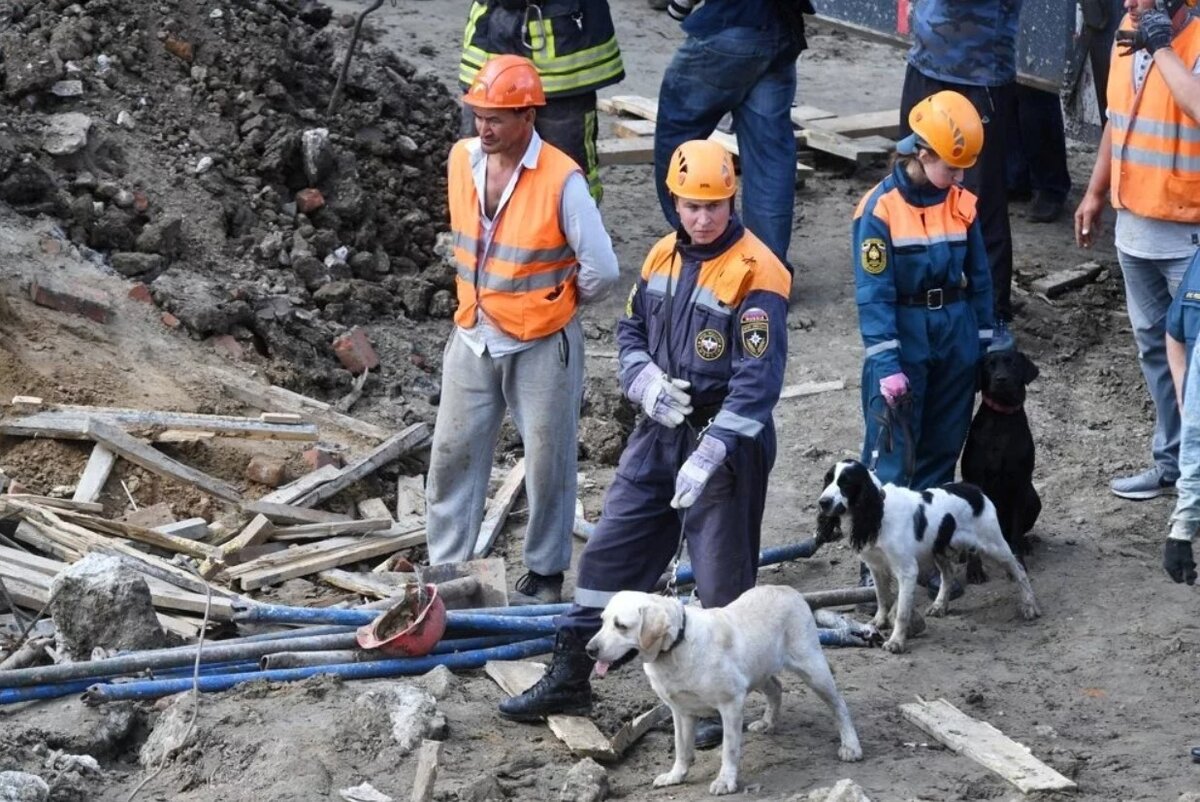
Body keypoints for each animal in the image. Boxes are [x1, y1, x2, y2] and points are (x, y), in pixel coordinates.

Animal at [585, 585, 859, 792]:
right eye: (602, 621)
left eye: (621, 625)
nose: (589, 649)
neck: (676, 647)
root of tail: (790, 590)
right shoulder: (680, 711)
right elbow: (681, 748)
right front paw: (676, 775)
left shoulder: (731, 704)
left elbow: (729, 748)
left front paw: (725, 781)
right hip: (758, 670)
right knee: (776, 688)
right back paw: (768, 722)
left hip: (813, 668)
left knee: (840, 704)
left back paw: (851, 746)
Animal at [955, 350, 1041, 576]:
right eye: (989, 366)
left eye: (1013, 364)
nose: (1001, 379)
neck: (1002, 419)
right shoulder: (976, 479)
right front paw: (974, 570)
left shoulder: (1021, 483)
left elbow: (1016, 531)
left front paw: (1018, 561)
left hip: (1033, 498)